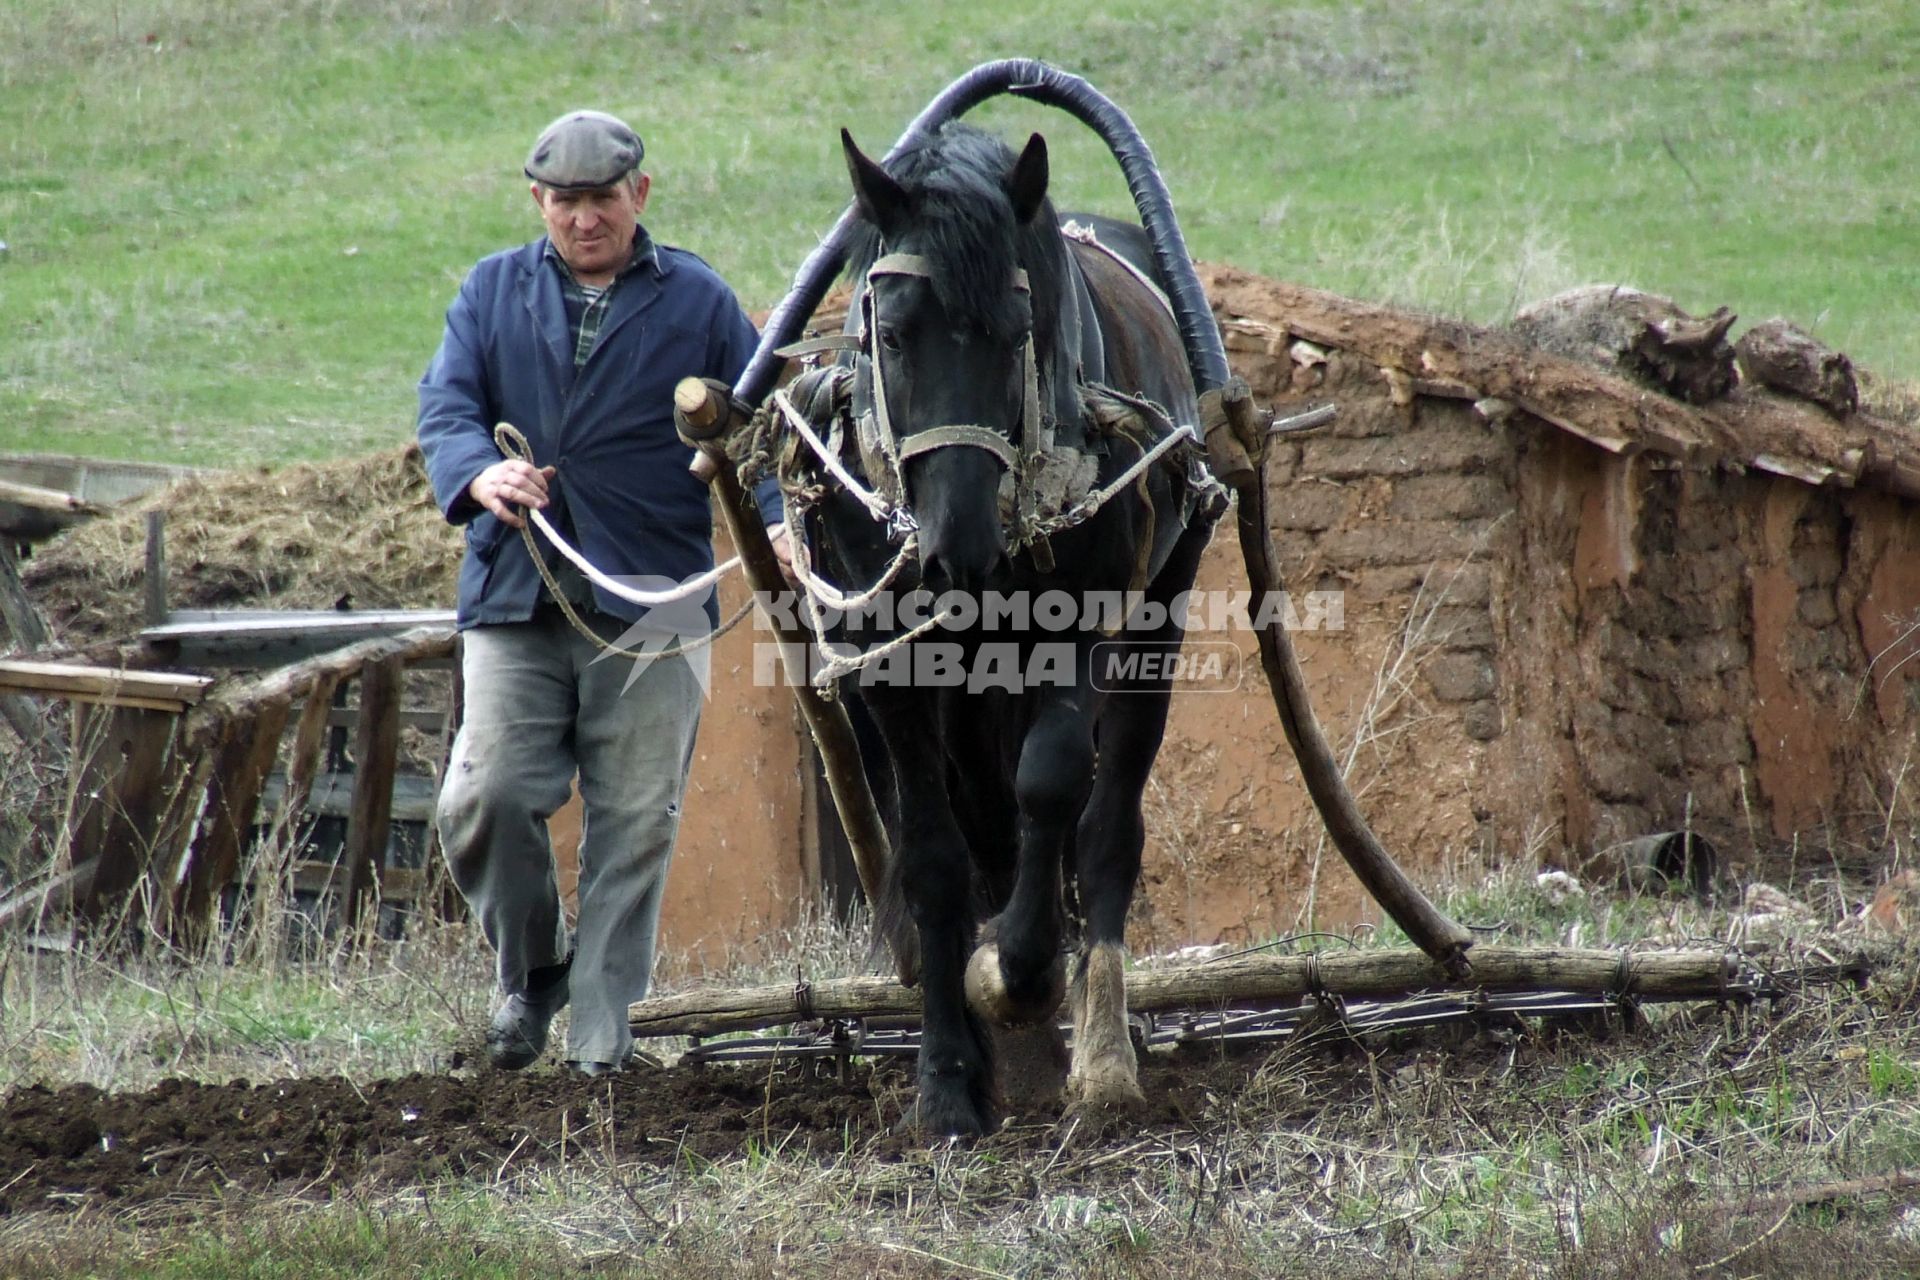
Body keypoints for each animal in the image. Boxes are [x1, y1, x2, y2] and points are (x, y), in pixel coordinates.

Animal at [794, 122, 1228, 1143]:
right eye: (892, 333)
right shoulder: (891, 665)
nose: (958, 554)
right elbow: (933, 857)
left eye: (1014, 330)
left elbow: (1054, 783)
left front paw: (1016, 972)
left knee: (1104, 827)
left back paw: (1102, 1053)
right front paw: (949, 1083)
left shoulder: (1082, 630)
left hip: (1157, 618)